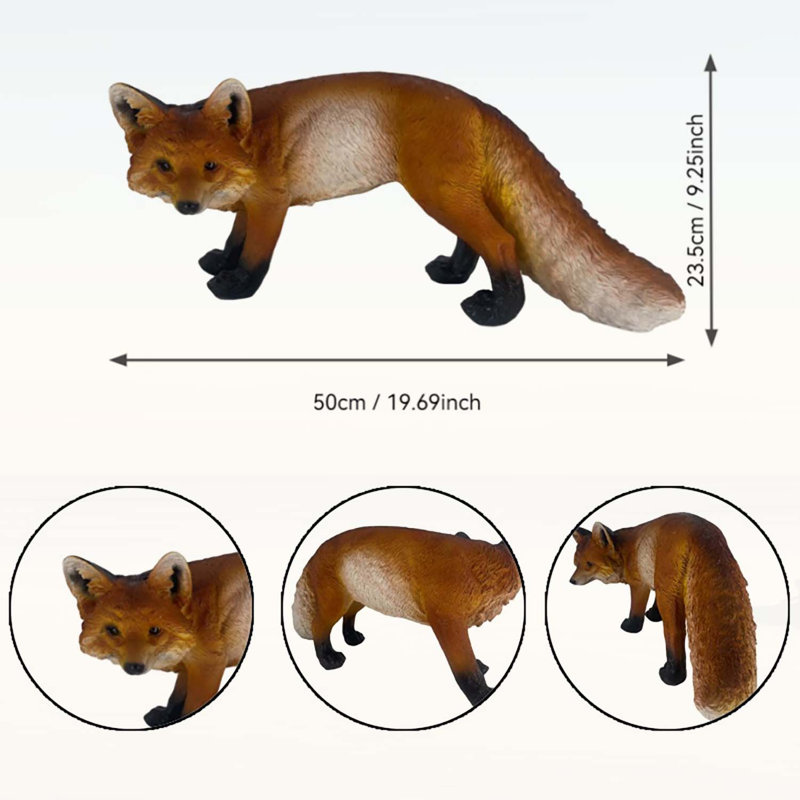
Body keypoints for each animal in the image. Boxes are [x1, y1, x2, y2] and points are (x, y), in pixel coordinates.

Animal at [63, 551, 252, 727]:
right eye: (113, 630)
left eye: (154, 630)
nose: (134, 667)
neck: (195, 617)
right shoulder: (191, 662)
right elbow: (176, 696)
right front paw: (168, 715)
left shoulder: (210, 664)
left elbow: (192, 705)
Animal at [109, 72, 684, 330]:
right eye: (165, 166)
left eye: (210, 167)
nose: (188, 207)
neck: (255, 143)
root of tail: (478, 102)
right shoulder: (251, 205)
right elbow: (234, 238)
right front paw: (220, 261)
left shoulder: (273, 203)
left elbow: (255, 255)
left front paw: (235, 287)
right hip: (446, 192)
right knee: (476, 239)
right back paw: (454, 272)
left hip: (436, 193)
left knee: (501, 241)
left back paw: (499, 310)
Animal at [292, 526, 521, 706]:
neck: (481, 568)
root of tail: (316, 550)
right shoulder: (447, 621)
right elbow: (465, 668)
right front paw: (482, 695)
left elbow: (471, 662)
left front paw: (481, 668)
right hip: (335, 602)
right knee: (318, 626)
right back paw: (327, 658)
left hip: (359, 598)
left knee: (348, 616)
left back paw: (351, 637)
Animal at [569, 513, 757, 720]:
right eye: (575, 563)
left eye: (589, 564)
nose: (571, 581)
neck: (626, 552)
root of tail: (704, 531)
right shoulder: (656, 583)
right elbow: (654, 606)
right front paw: (653, 614)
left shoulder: (640, 584)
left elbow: (636, 611)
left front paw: (631, 627)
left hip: (669, 595)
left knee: (674, 634)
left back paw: (672, 674)